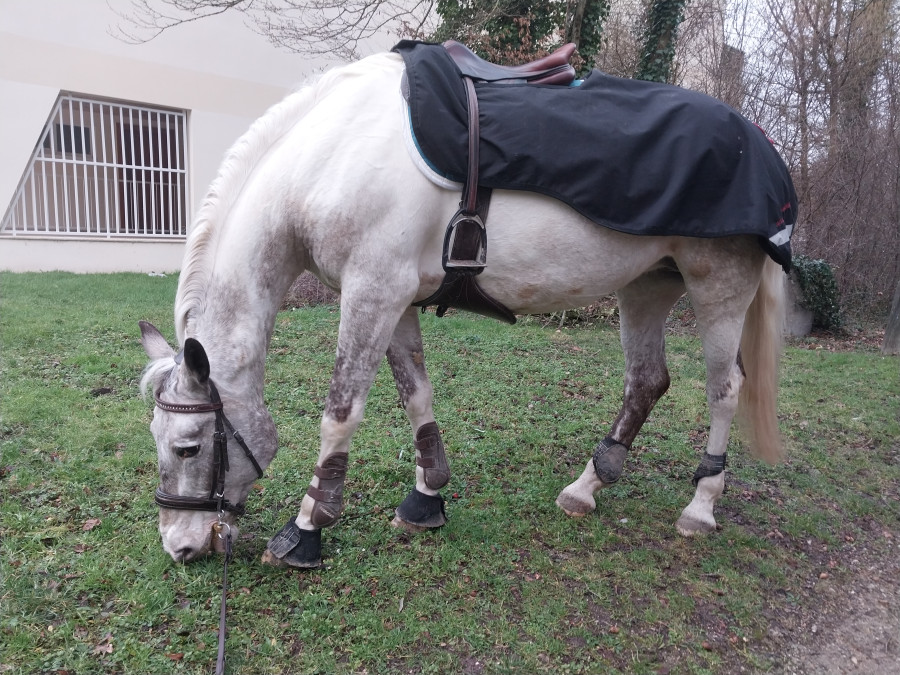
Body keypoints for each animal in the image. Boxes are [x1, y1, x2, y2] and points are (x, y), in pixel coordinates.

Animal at [140, 48, 792, 568]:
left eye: (188, 446)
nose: (179, 546)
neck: (332, 155)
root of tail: (760, 143)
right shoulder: (394, 298)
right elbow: (416, 394)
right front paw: (427, 497)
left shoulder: (371, 292)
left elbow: (340, 413)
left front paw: (306, 530)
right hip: (648, 287)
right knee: (646, 381)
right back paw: (586, 487)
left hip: (718, 288)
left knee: (724, 390)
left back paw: (700, 506)